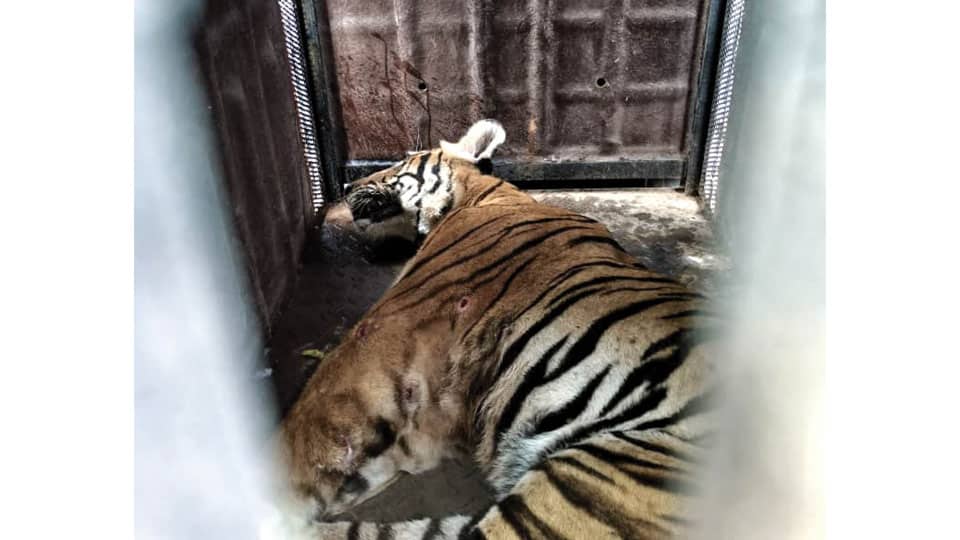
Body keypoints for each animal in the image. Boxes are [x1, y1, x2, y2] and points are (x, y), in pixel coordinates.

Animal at [263, 119, 716, 539]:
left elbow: (314, 417)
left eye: (399, 162)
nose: (347, 185)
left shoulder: (394, 323)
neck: (477, 194)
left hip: (595, 479)